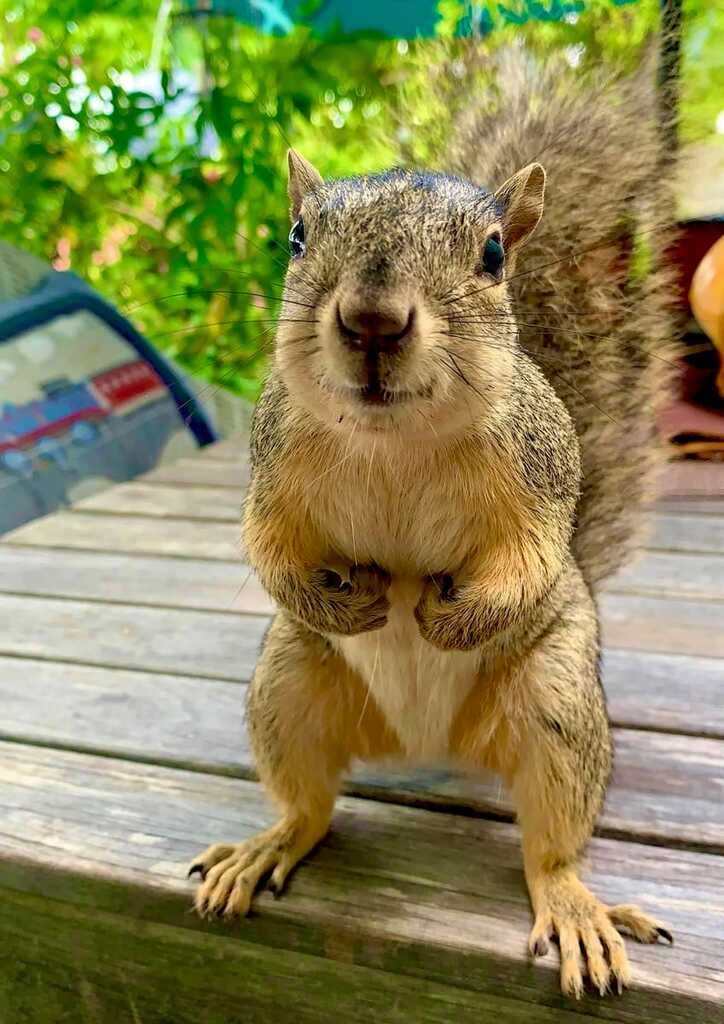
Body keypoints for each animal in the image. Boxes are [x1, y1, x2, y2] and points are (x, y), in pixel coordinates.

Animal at [189, 47, 676, 998]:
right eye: (296, 238)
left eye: (491, 254)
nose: (372, 321)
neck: (395, 440)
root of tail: (427, 741)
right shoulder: (271, 469)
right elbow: (270, 550)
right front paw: (352, 601)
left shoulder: (539, 476)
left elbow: (530, 559)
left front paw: (451, 616)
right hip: (287, 685)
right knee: (311, 807)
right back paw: (267, 844)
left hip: (556, 701)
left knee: (550, 849)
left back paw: (574, 907)